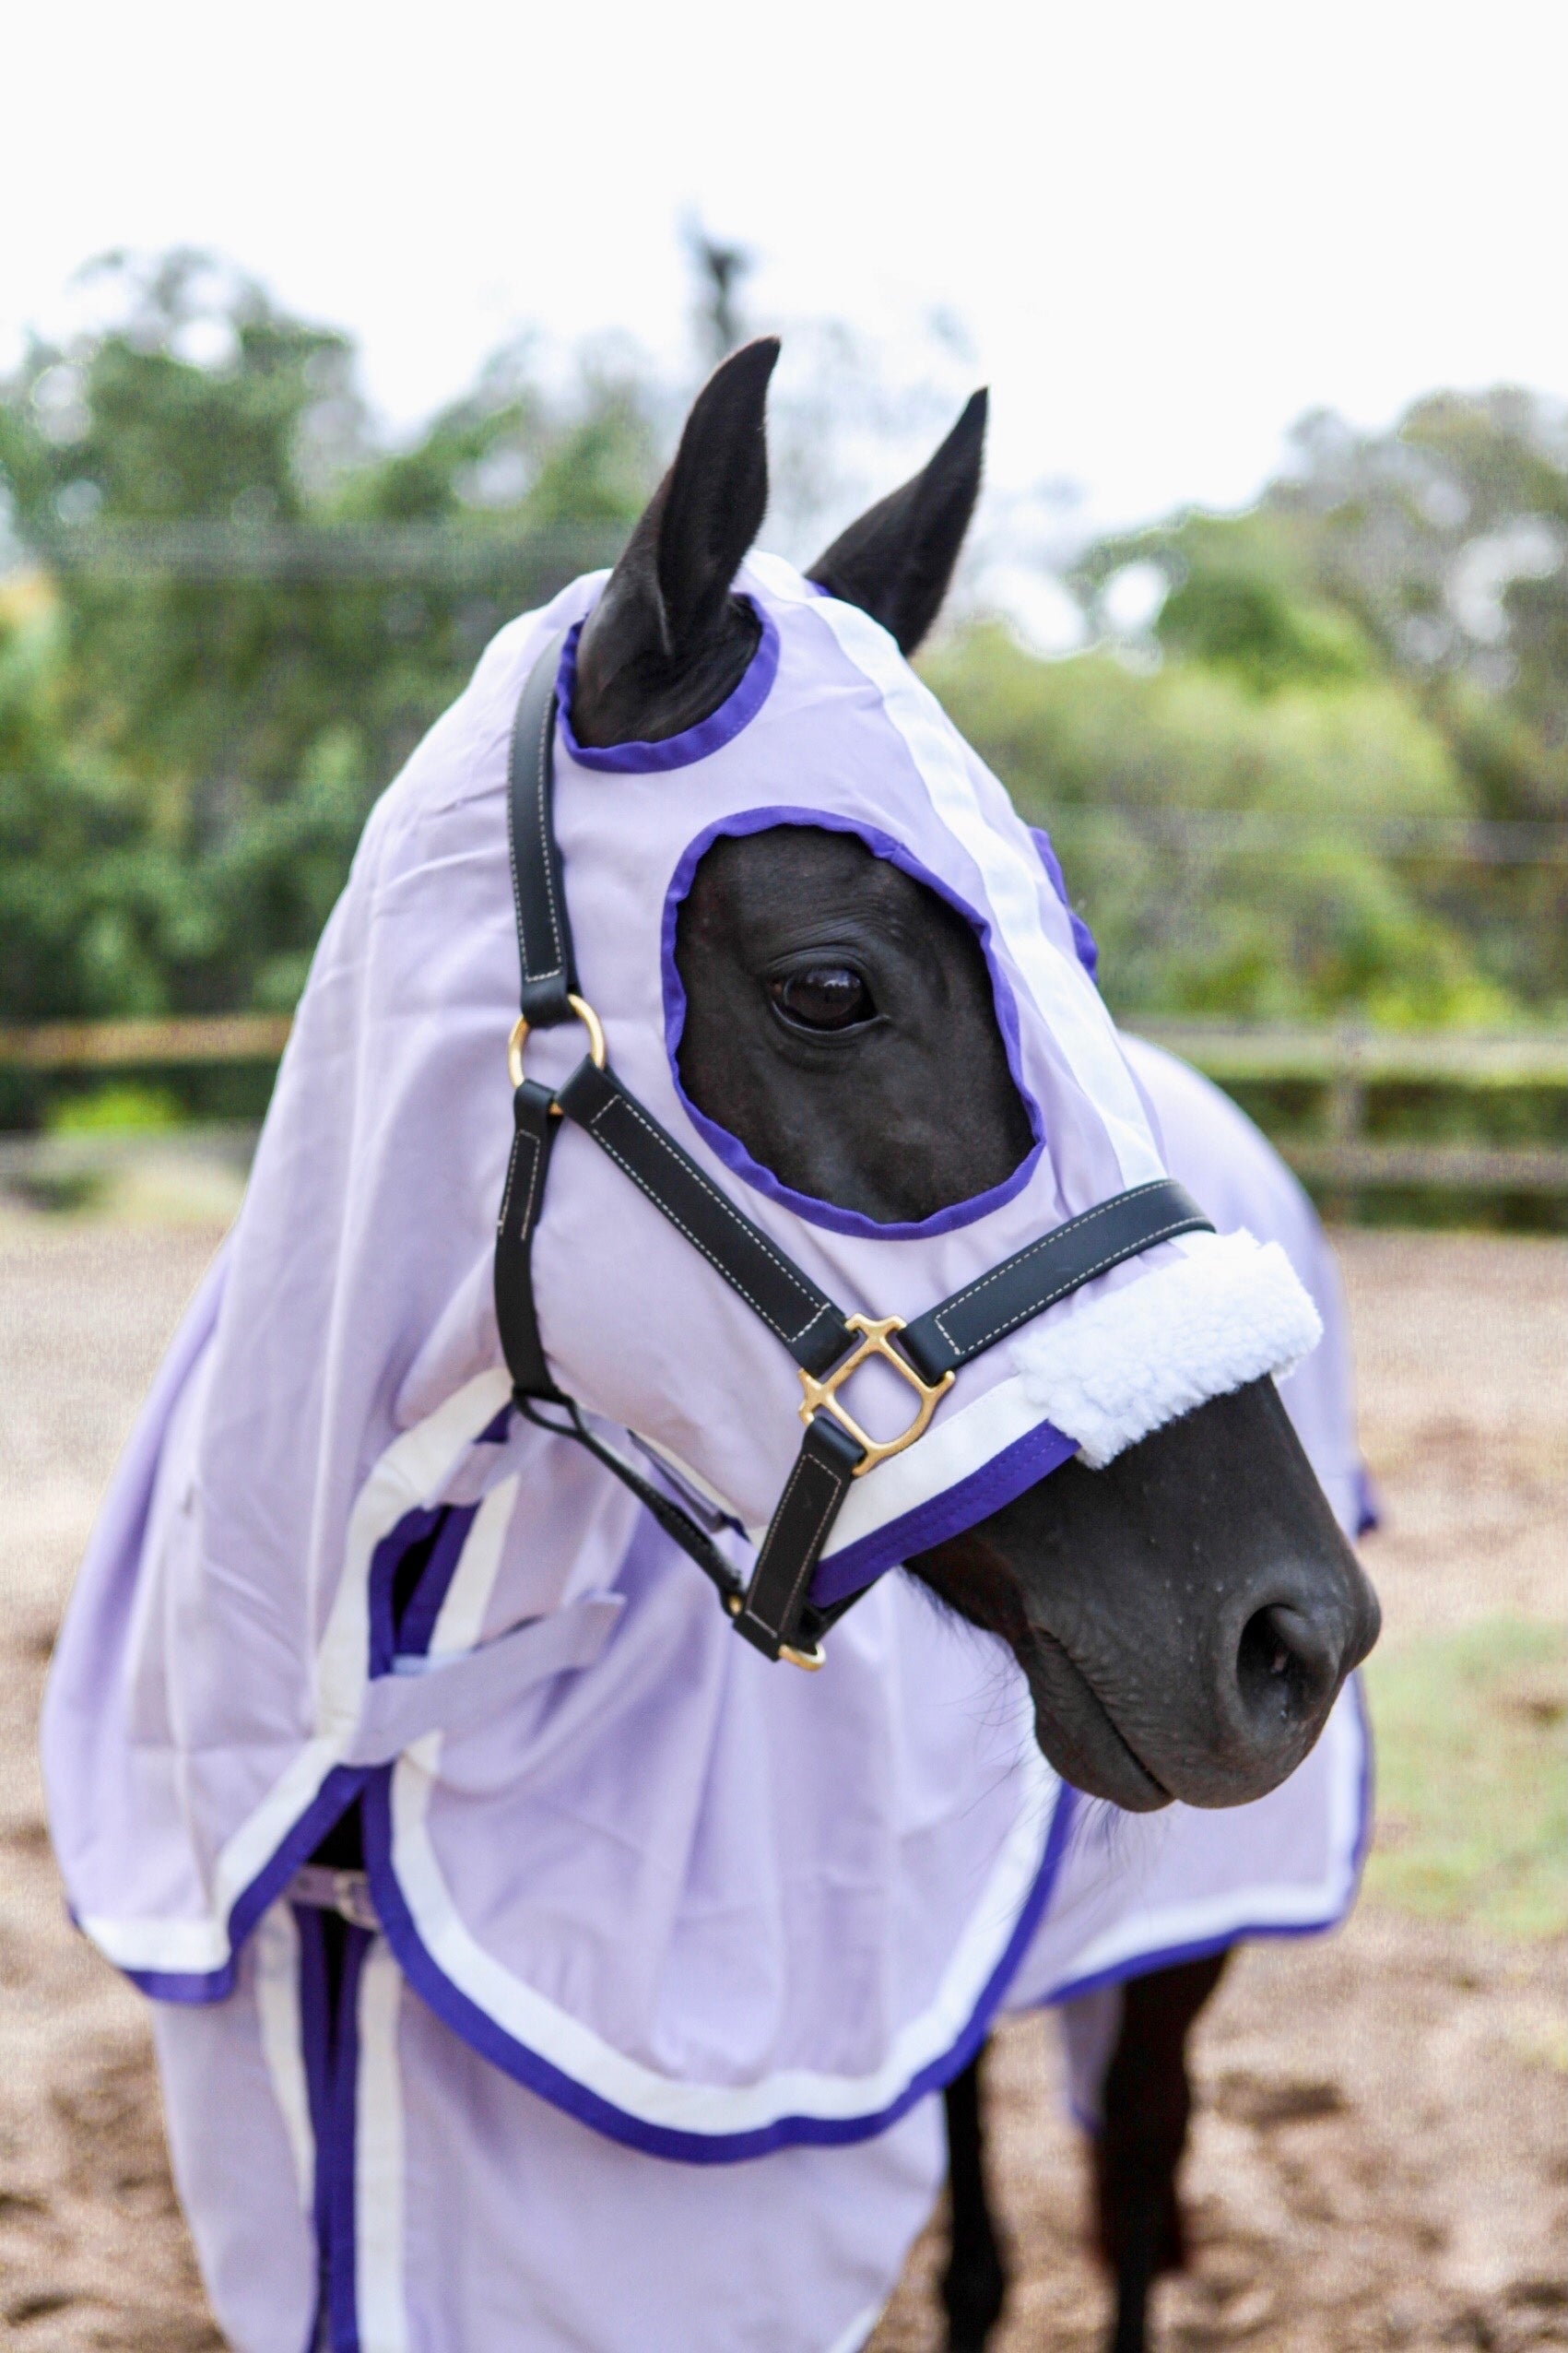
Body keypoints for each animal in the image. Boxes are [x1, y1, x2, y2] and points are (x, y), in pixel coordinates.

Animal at [42, 336, 1382, 2353]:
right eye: (831, 985)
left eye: (1071, 953)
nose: (1293, 1631)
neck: (375, 1688)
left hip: (1184, 1941)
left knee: (1135, 2184)